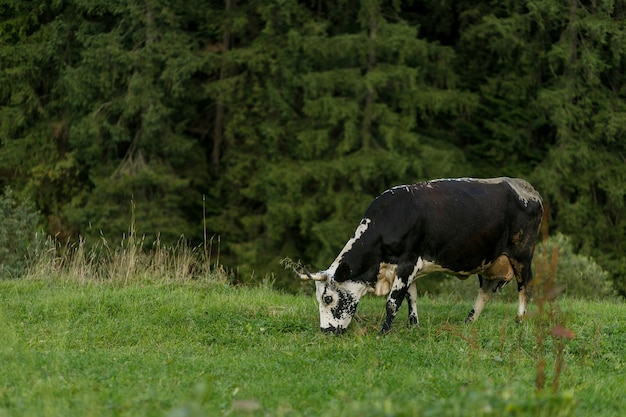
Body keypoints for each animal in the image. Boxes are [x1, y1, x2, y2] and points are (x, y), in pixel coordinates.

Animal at [290, 177, 540, 334]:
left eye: (328, 298)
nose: (326, 331)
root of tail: (526, 187)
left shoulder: (407, 262)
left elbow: (393, 302)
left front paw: (383, 332)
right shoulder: (407, 269)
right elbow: (412, 297)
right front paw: (413, 326)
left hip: (522, 254)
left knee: (525, 286)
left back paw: (519, 319)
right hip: (490, 262)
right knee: (486, 291)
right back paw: (469, 321)